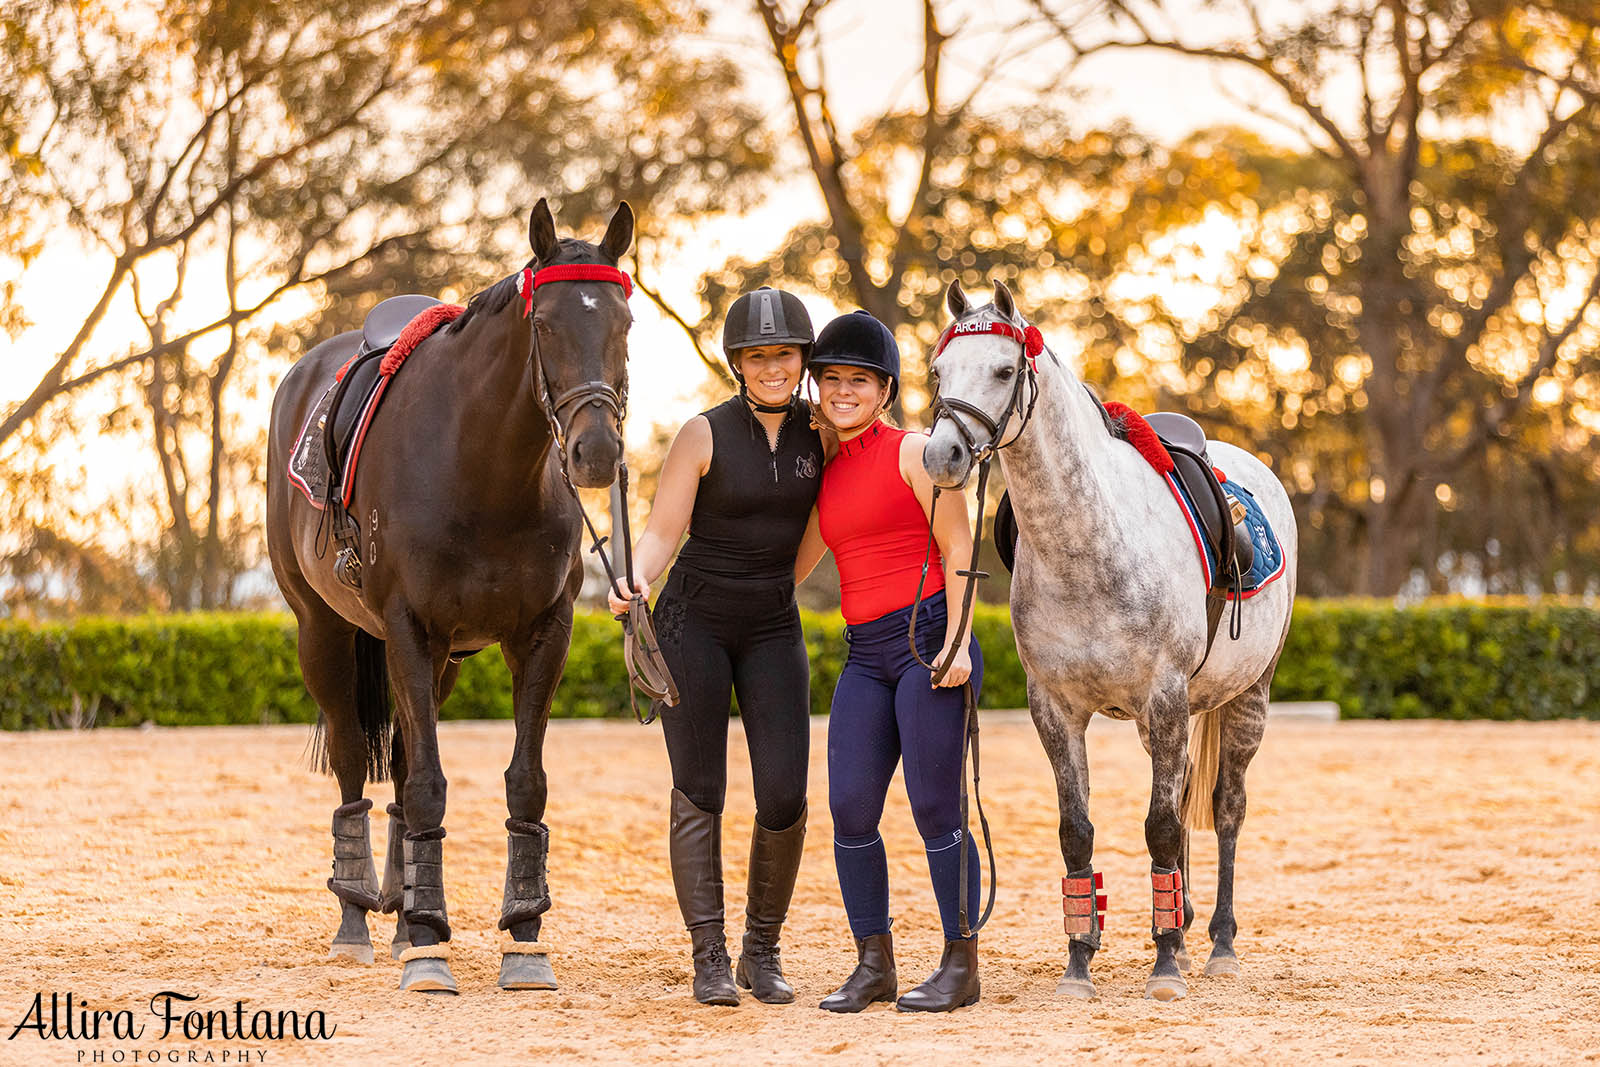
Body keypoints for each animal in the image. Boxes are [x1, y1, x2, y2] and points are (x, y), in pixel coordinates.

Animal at [265, 198, 633, 991]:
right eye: (544, 324)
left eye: (623, 322)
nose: (596, 453)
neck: (484, 466)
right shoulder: (407, 627)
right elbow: (428, 784)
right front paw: (432, 945)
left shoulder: (542, 634)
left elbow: (522, 781)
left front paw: (522, 934)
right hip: (324, 633)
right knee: (354, 762)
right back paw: (358, 921)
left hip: (444, 662)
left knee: (403, 767)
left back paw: (406, 919)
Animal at [921, 278, 1292, 1004]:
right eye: (938, 371)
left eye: (1003, 370)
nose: (940, 455)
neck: (1088, 545)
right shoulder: (1056, 709)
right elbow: (1078, 830)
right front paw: (1080, 961)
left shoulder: (1164, 697)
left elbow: (1161, 825)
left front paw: (1166, 967)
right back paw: (1180, 926)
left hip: (1246, 699)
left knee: (1225, 809)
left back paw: (1218, 944)